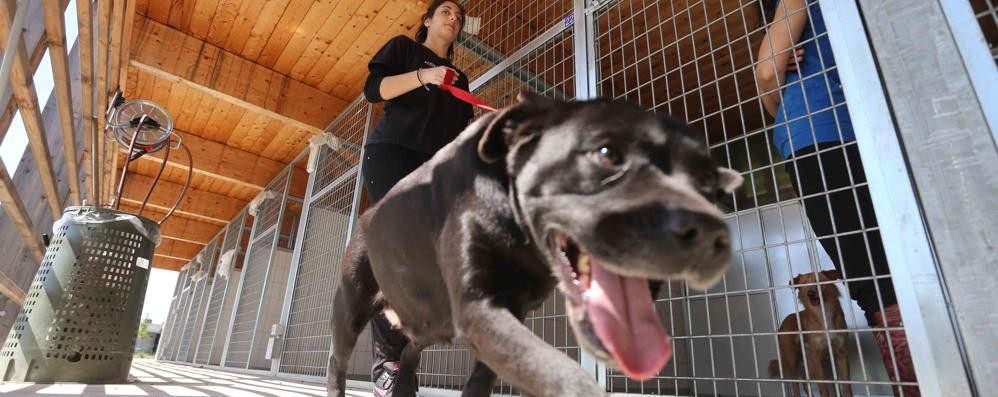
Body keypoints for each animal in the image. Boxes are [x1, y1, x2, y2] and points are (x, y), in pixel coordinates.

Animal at [328, 91, 744, 394]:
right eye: (607, 154)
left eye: (709, 186)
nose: (710, 234)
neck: (521, 239)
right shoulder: (479, 308)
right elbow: (565, 375)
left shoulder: (506, 314)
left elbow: (483, 381)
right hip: (351, 309)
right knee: (338, 365)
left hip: (429, 322)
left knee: (411, 349)